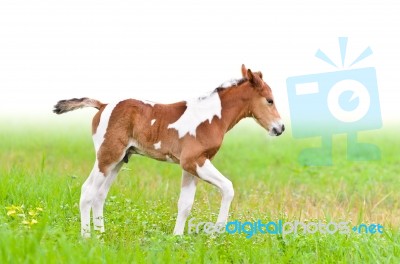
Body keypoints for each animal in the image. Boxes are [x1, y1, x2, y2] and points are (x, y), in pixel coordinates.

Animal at [54, 65, 284, 238]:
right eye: (269, 100)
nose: (280, 128)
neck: (211, 117)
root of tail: (103, 105)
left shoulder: (192, 166)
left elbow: (185, 204)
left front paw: (177, 238)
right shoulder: (193, 161)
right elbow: (228, 187)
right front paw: (217, 232)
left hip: (119, 161)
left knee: (100, 195)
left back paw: (101, 234)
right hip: (107, 157)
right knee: (88, 191)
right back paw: (87, 237)